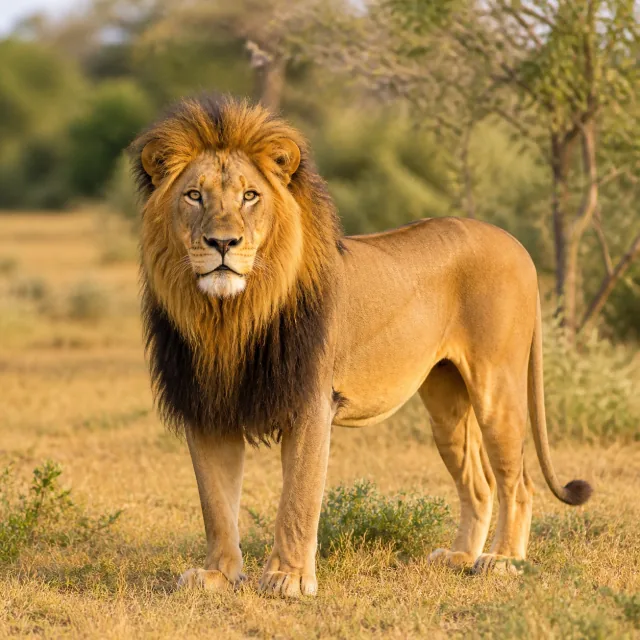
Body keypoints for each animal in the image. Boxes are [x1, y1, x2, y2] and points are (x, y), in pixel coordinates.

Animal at [131, 95, 592, 597]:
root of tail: (517, 245)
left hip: (496, 386)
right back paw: (460, 557)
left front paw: (288, 577)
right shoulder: (207, 406)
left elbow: (298, 499)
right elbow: (215, 503)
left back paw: (503, 560)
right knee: (480, 482)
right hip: (445, 404)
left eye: (250, 196)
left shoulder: (310, 402)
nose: (222, 243)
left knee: (518, 481)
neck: (228, 316)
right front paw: (217, 574)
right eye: (194, 195)